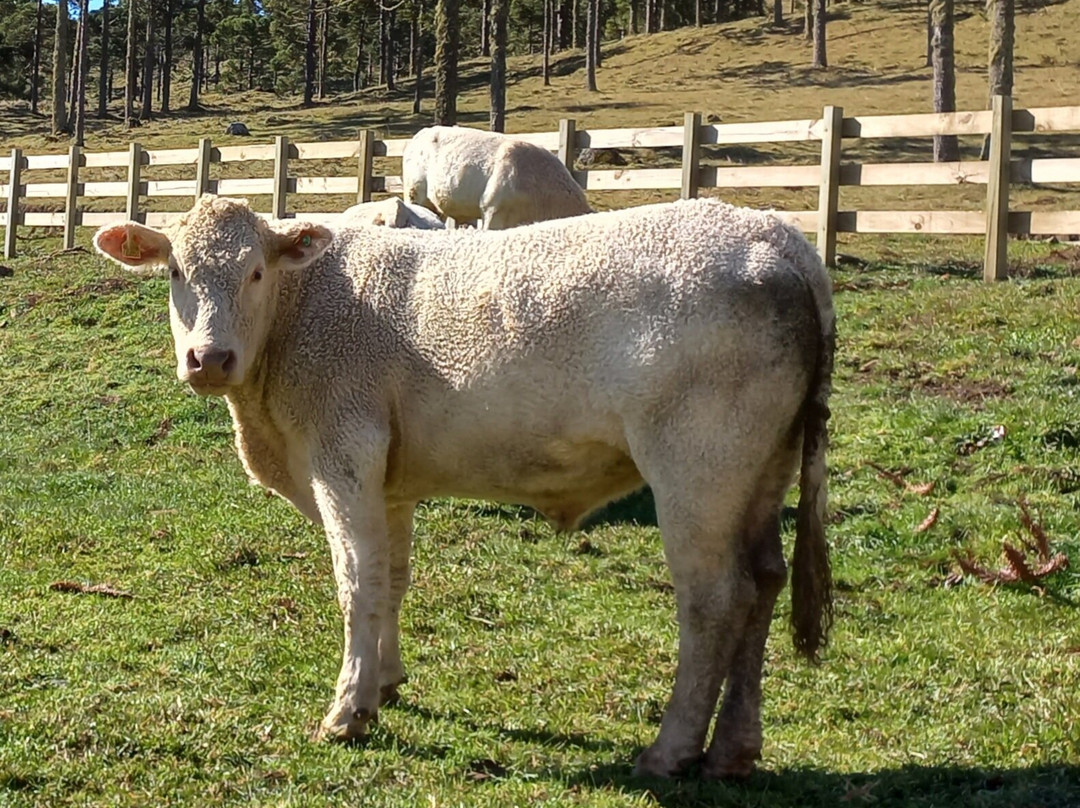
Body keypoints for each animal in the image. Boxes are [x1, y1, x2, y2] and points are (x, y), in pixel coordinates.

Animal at [92, 192, 833, 777]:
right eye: (176, 271)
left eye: (253, 271)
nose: (209, 358)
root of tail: (776, 235)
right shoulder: (389, 481)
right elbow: (391, 579)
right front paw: (386, 683)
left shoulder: (344, 453)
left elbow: (356, 583)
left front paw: (348, 710)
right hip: (764, 468)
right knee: (765, 581)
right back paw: (733, 749)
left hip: (698, 466)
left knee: (715, 601)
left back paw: (671, 750)